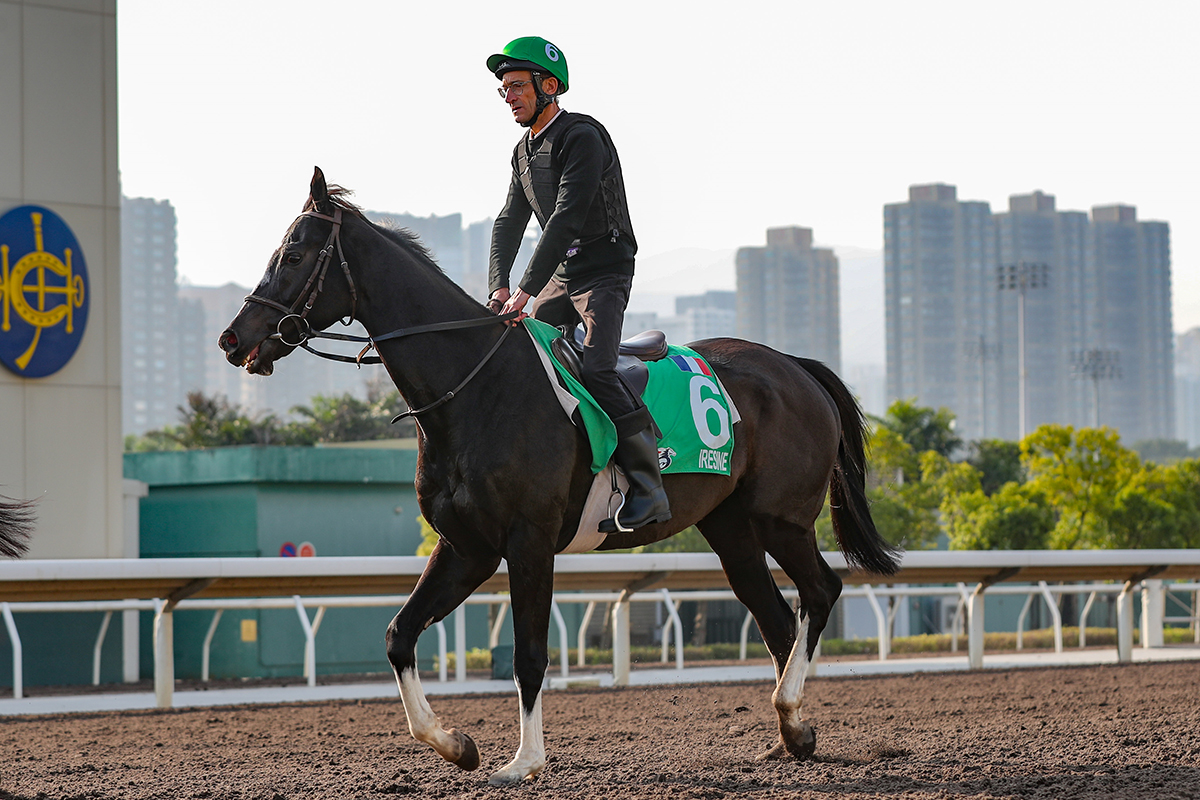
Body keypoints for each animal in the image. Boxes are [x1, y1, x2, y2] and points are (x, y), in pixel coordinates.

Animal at [218, 169, 902, 786]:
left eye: (293, 255)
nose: (232, 339)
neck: (473, 385)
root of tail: (795, 366)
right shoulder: (466, 547)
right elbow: (398, 635)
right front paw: (456, 745)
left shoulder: (528, 542)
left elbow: (529, 654)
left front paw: (523, 761)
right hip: (730, 527)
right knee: (778, 619)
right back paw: (791, 737)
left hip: (781, 519)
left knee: (820, 592)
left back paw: (790, 711)